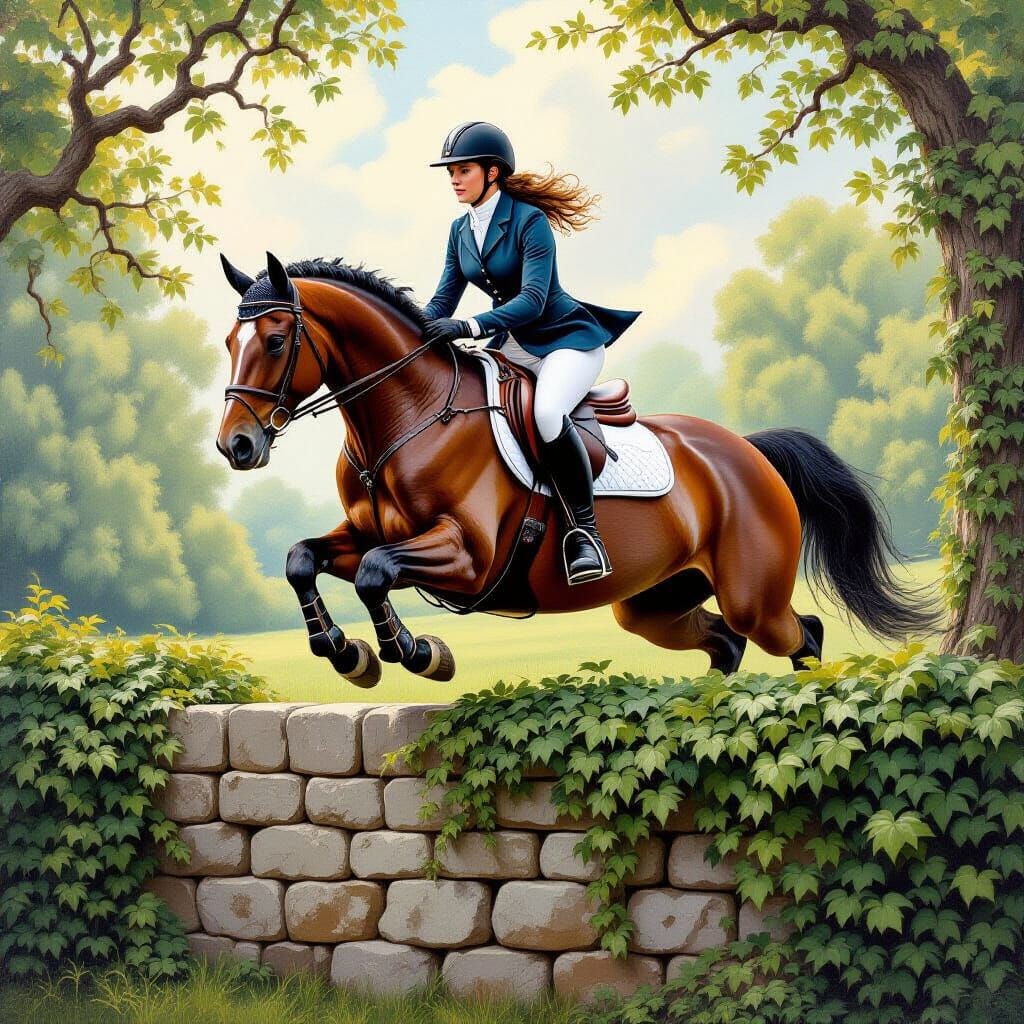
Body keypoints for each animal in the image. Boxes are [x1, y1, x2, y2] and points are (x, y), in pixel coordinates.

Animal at [215, 251, 942, 687]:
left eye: (275, 340)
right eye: (229, 341)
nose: (236, 447)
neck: (408, 416)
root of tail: (748, 450)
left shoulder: (469, 556)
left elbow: (374, 573)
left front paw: (419, 654)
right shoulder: (363, 532)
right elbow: (302, 559)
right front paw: (346, 654)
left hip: (751, 593)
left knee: (801, 634)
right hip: (653, 604)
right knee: (724, 644)